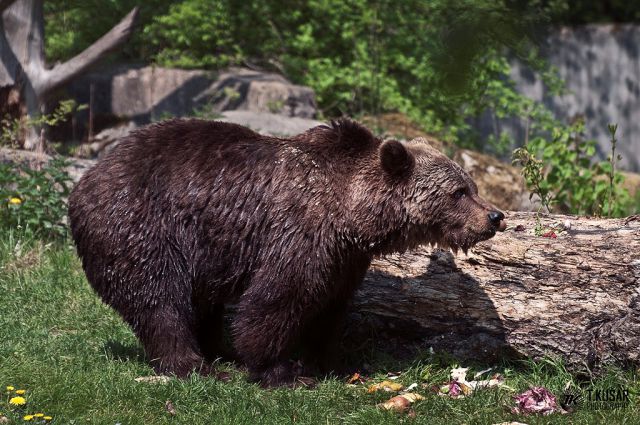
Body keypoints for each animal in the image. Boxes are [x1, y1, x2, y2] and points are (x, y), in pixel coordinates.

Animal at [66, 117, 504, 386]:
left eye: (472, 185)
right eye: (458, 192)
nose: (495, 216)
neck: (352, 214)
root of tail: (83, 181)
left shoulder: (343, 259)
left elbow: (328, 307)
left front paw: (328, 360)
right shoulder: (298, 233)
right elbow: (277, 299)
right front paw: (280, 370)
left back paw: (219, 351)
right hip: (142, 227)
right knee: (161, 300)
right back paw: (196, 365)